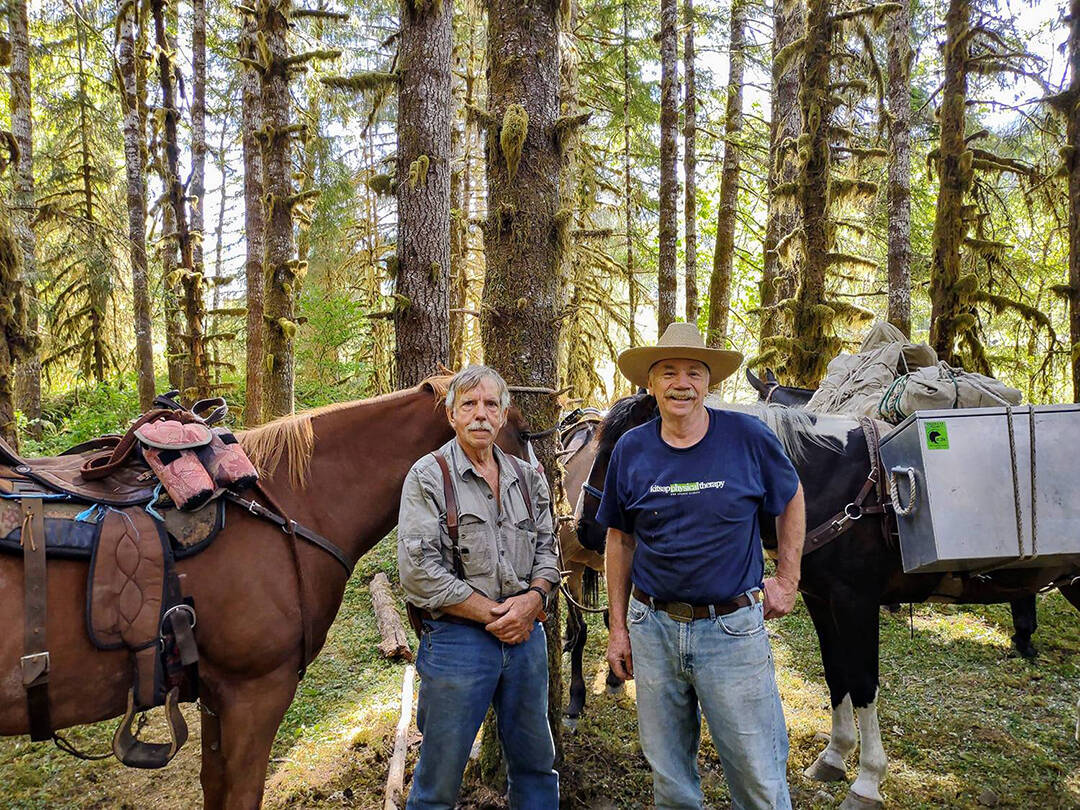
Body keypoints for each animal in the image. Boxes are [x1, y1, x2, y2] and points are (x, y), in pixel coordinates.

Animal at [0, 380, 531, 810]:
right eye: (522, 432)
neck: (292, 503)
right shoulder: (255, 691)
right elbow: (241, 793)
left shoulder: (216, 693)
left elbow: (214, 785)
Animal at [578, 390, 1080, 807]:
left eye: (617, 452)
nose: (584, 529)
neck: (824, 482)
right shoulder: (822, 601)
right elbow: (836, 674)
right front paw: (834, 757)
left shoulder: (856, 602)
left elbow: (863, 682)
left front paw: (868, 780)